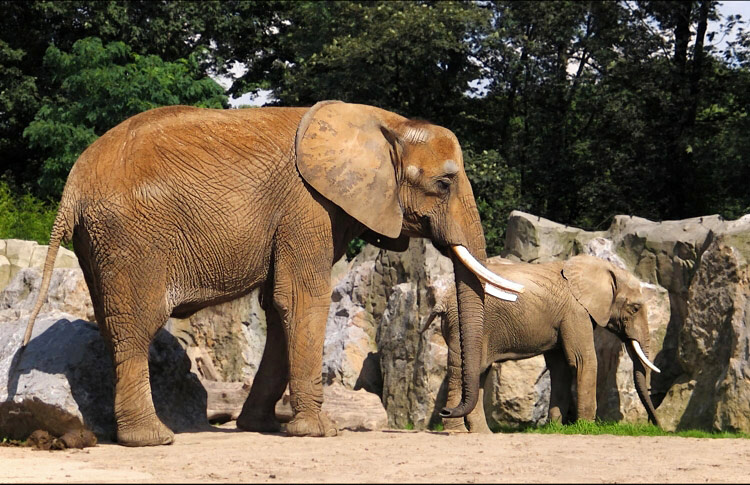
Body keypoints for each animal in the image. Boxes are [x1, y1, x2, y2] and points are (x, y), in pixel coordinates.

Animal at [23, 100, 524, 446]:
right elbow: (302, 298)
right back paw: (153, 439)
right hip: (131, 240)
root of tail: (73, 184)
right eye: (445, 182)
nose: (448, 419)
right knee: (136, 326)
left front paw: (260, 427)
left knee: (113, 323)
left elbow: (278, 306)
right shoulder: (309, 206)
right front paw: (321, 432)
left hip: (101, 243)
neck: (384, 122)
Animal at [421, 254, 661, 433]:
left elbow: (561, 367)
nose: (657, 425)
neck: (603, 268)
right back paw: (458, 430)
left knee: (476, 371)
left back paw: (481, 433)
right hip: (463, 324)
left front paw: (555, 427)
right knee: (465, 370)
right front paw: (586, 427)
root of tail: (443, 300)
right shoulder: (575, 312)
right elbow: (582, 361)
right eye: (635, 308)